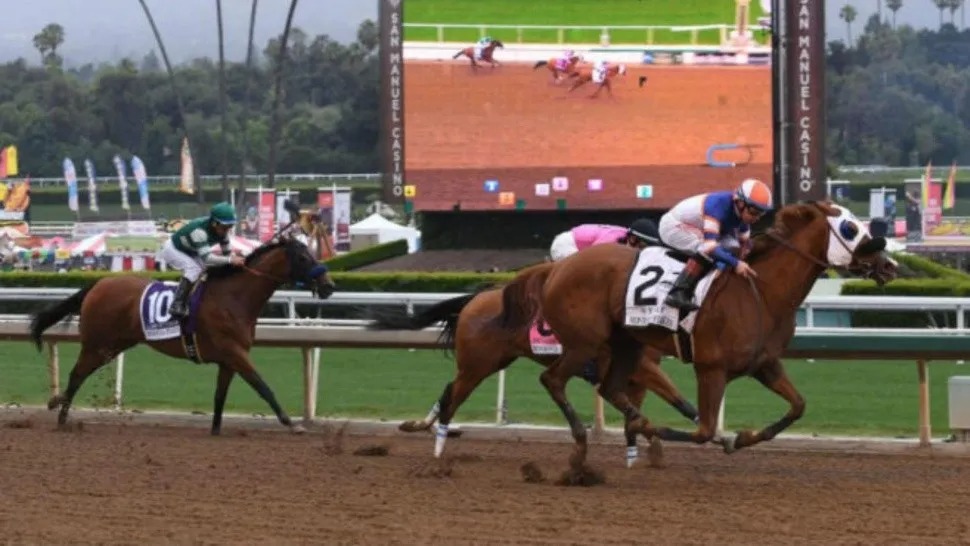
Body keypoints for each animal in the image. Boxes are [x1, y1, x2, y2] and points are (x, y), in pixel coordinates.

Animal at [28, 228, 336, 434]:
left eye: (312, 253)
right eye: (303, 257)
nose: (329, 286)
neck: (234, 297)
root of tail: (98, 284)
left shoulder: (228, 360)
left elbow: (220, 395)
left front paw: (215, 430)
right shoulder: (235, 353)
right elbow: (263, 387)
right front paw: (292, 424)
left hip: (114, 345)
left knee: (79, 375)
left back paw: (58, 407)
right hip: (97, 345)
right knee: (76, 375)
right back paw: (60, 414)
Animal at [364, 262, 696, 464]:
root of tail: (475, 298)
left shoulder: (635, 375)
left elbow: (649, 409)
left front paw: (652, 447)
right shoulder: (639, 368)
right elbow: (674, 404)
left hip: (491, 361)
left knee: (448, 390)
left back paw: (419, 426)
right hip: (477, 365)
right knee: (453, 396)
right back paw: (438, 447)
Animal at [496, 201, 896, 472]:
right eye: (850, 228)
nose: (889, 264)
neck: (762, 292)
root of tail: (556, 268)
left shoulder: (764, 364)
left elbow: (797, 406)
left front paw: (742, 437)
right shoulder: (711, 369)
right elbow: (703, 429)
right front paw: (690, 435)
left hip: (626, 344)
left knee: (609, 388)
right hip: (584, 343)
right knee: (553, 380)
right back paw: (583, 447)